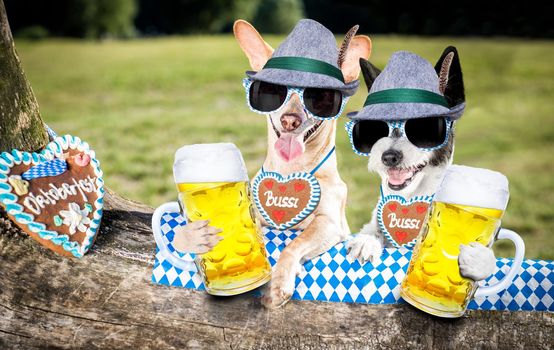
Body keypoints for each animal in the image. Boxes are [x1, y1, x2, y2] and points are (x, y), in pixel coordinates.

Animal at [342, 47, 494, 282]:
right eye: (375, 128)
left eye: (424, 127)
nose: (389, 157)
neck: (410, 197)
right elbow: (372, 230)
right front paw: (366, 241)